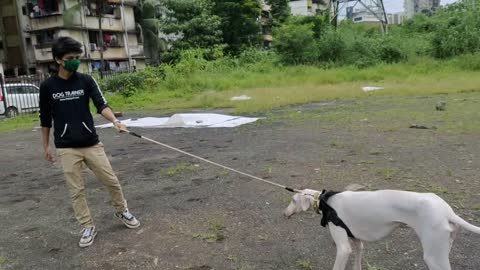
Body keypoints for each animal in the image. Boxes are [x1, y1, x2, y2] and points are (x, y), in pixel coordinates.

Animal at [284, 188, 480, 270]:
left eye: (293, 200)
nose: (284, 213)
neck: (326, 201)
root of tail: (447, 211)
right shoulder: (357, 243)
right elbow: (357, 264)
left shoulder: (343, 249)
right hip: (443, 249)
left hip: (434, 257)